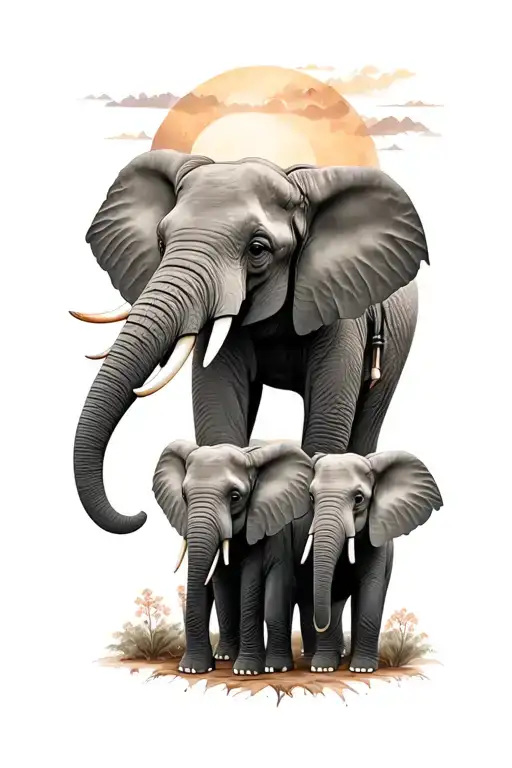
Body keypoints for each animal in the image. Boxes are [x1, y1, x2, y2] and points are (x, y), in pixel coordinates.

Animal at [71, 150, 429, 538]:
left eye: (257, 249)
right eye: (161, 242)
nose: (139, 515)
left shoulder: (342, 308)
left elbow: (326, 429)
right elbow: (219, 415)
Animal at [152, 439, 315, 675]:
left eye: (235, 497)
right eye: (183, 496)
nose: (190, 668)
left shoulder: (269, 523)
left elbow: (252, 578)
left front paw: (247, 670)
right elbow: (222, 586)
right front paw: (198, 667)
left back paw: (284, 665)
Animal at [302, 450, 443, 674]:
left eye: (359, 498)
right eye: (311, 497)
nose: (318, 623)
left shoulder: (378, 544)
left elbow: (371, 590)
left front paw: (362, 669)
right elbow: (332, 590)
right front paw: (322, 668)